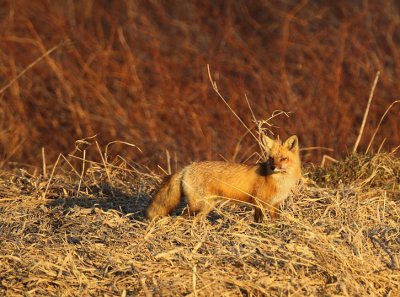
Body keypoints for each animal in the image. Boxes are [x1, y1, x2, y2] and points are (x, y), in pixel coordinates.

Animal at [146, 134, 300, 220]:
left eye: (283, 159)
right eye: (271, 158)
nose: (273, 167)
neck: (280, 182)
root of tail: (187, 167)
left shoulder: (275, 205)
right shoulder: (259, 203)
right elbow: (259, 222)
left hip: (207, 206)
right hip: (199, 205)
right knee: (180, 218)